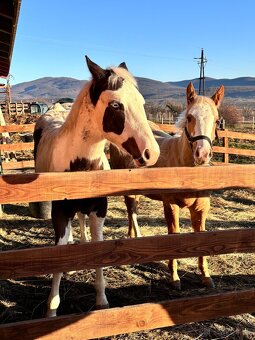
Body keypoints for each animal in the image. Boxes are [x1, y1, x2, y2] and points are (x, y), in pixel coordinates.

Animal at [34, 57, 159, 318]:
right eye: (115, 104)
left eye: (142, 102)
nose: (151, 153)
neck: (82, 165)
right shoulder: (60, 213)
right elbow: (58, 255)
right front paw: (52, 309)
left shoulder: (98, 211)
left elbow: (98, 250)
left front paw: (101, 301)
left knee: (81, 220)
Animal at [109, 82, 223, 290]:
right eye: (189, 117)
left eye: (217, 120)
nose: (202, 155)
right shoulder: (171, 206)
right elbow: (174, 236)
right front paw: (175, 279)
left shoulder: (201, 208)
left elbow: (202, 237)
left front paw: (206, 277)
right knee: (131, 212)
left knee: (132, 212)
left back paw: (132, 237)